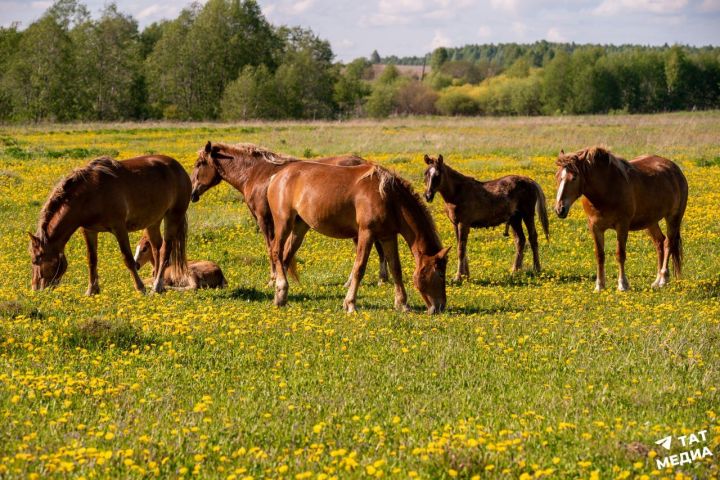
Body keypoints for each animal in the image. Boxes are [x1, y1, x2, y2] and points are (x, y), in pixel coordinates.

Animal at [29, 156, 190, 294]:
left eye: (36, 260)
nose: (36, 288)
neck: (91, 193)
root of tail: (179, 168)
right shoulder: (88, 230)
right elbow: (92, 260)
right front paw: (92, 290)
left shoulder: (119, 228)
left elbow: (128, 259)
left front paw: (140, 288)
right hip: (153, 222)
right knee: (156, 249)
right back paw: (158, 285)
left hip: (173, 216)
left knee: (165, 250)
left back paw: (156, 286)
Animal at [188, 142, 386, 284]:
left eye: (199, 164)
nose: (192, 193)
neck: (258, 174)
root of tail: (364, 164)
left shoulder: (264, 219)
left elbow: (271, 248)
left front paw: (273, 278)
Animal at [268, 161, 450, 314]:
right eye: (440, 273)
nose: (440, 306)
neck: (388, 196)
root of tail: (276, 176)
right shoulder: (366, 233)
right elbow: (359, 268)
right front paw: (350, 304)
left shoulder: (388, 236)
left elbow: (395, 268)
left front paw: (402, 304)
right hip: (283, 223)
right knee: (276, 251)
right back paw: (281, 287)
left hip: (299, 228)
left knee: (285, 257)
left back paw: (280, 297)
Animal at [422, 154, 552, 284]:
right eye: (426, 173)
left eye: (437, 175)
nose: (428, 196)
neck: (457, 192)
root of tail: (531, 181)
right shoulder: (455, 224)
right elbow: (461, 246)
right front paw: (465, 275)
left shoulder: (463, 223)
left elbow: (461, 249)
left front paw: (458, 277)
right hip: (515, 219)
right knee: (520, 240)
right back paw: (515, 271)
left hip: (527, 214)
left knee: (532, 238)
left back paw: (537, 269)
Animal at [556, 146, 688, 290]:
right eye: (557, 177)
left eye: (574, 177)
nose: (559, 209)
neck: (606, 189)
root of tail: (674, 168)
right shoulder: (595, 227)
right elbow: (599, 255)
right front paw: (599, 286)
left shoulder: (622, 225)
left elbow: (620, 254)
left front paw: (623, 284)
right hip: (651, 222)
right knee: (660, 242)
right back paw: (657, 281)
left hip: (673, 217)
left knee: (669, 243)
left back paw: (664, 278)